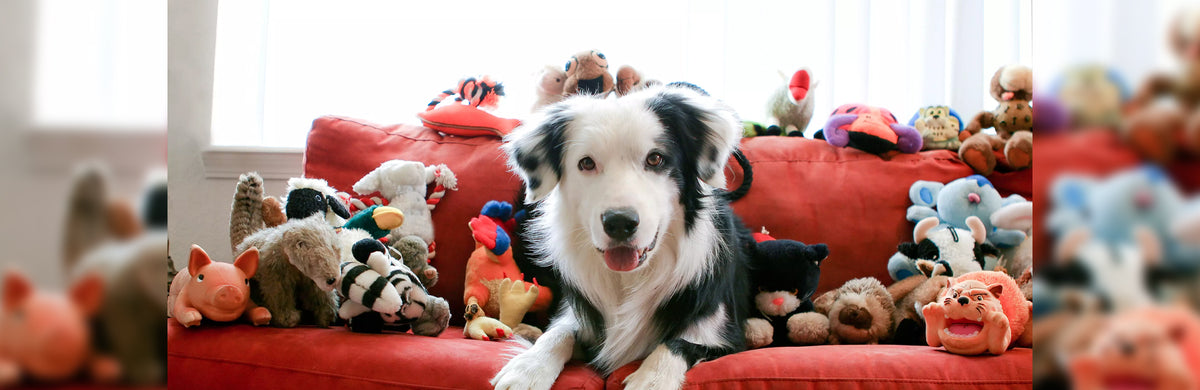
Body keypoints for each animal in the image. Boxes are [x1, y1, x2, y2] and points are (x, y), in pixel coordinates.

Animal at [492, 85, 744, 388]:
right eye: (586, 163)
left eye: (655, 158)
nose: (620, 223)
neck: (630, 279)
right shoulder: (578, 314)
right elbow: (557, 332)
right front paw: (528, 368)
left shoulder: (725, 335)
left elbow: (678, 343)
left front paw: (652, 379)